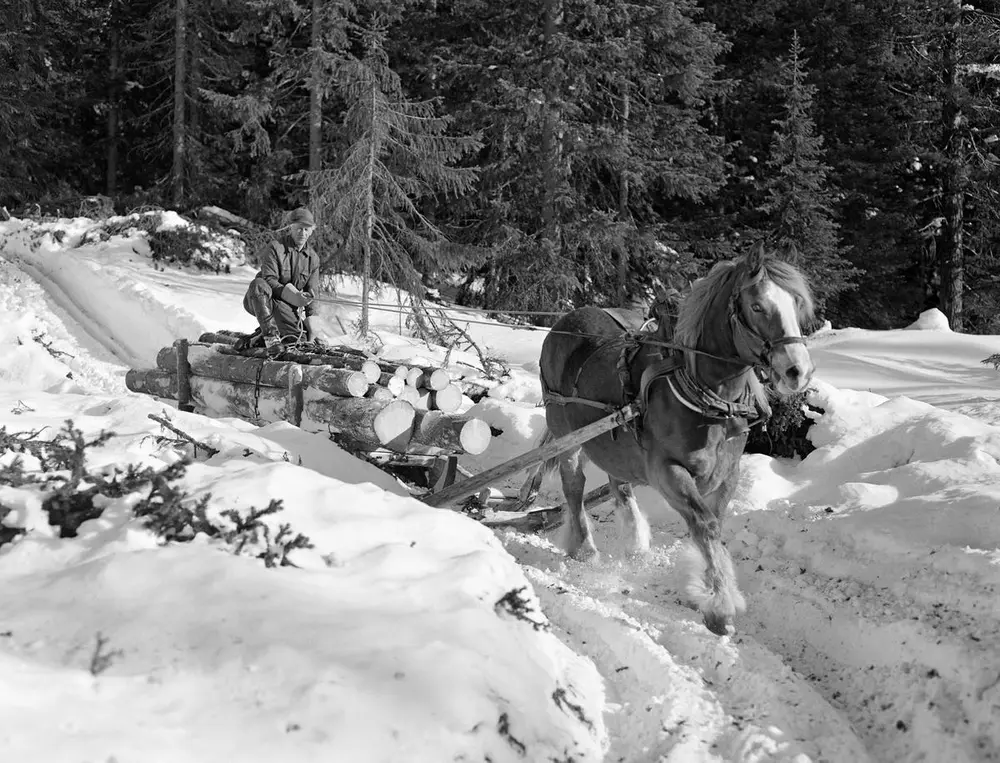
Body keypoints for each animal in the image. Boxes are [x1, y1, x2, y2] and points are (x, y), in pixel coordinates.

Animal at [532, 246, 812, 640]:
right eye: (757, 306)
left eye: (796, 305)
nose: (797, 371)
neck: (707, 395)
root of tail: (565, 319)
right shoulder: (668, 471)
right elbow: (705, 526)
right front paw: (720, 607)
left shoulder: (728, 474)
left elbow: (713, 527)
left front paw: (707, 587)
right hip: (565, 436)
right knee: (574, 487)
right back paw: (585, 549)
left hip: (616, 445)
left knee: (619, 484)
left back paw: (636, 544)